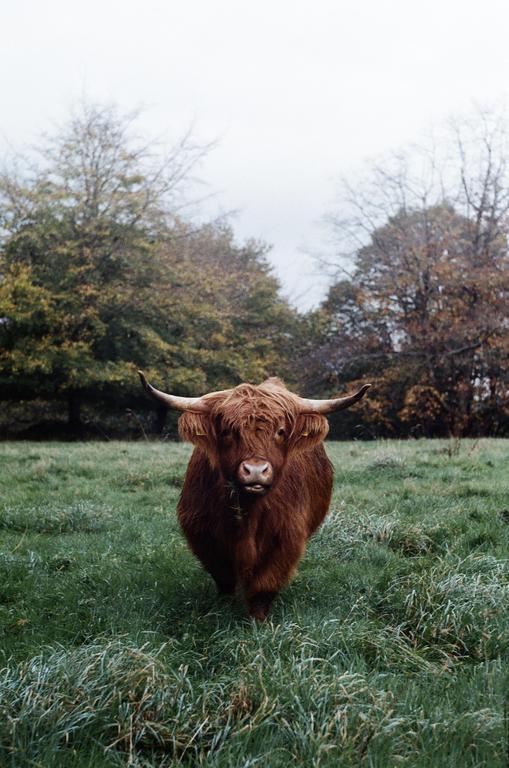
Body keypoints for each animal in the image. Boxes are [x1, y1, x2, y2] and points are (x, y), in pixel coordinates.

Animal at [138, 371, 370, 620]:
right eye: (227, 431)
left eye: (280, 431)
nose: (256, 470)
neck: (248, 512)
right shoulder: (202, 532)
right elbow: (223, 577)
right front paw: (223, 607)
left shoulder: (286, 536)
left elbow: (264, 584)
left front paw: (258, 621)